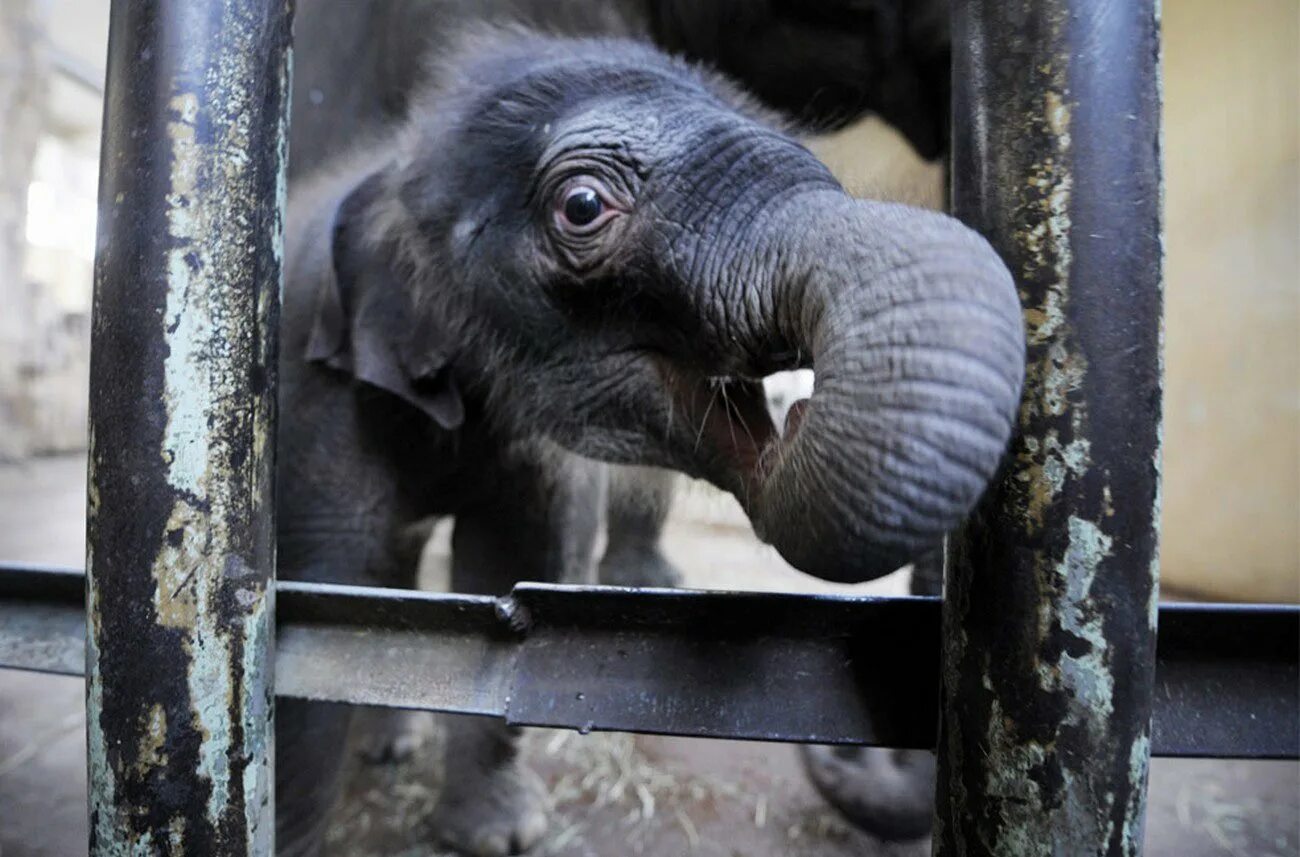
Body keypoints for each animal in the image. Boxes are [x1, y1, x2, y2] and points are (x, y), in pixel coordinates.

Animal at [276, 26, 1024, 857]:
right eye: (582, 206)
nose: (798, 407)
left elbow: (507, 566)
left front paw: (501, 834)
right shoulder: (319, 401)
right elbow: (314, 611)